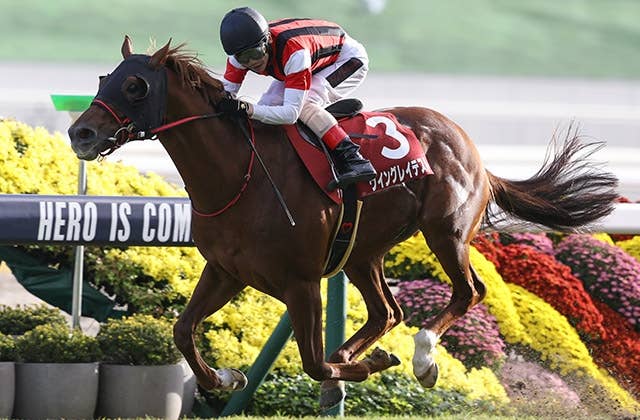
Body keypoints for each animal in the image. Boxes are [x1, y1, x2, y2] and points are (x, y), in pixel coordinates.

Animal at [68, 36, 618, 409]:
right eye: (102, 80)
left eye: (135, 85)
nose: (81, 133)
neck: (239, 177)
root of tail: (472, 147)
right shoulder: (226, 271)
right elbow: (183, 330)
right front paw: (226, 379)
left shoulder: (302, 282)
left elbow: (313, 362)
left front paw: (361, 366)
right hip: (363, 252)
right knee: (387, 312)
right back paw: (359, 356)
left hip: (446, 231)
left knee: (467, 292)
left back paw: (421, 358)